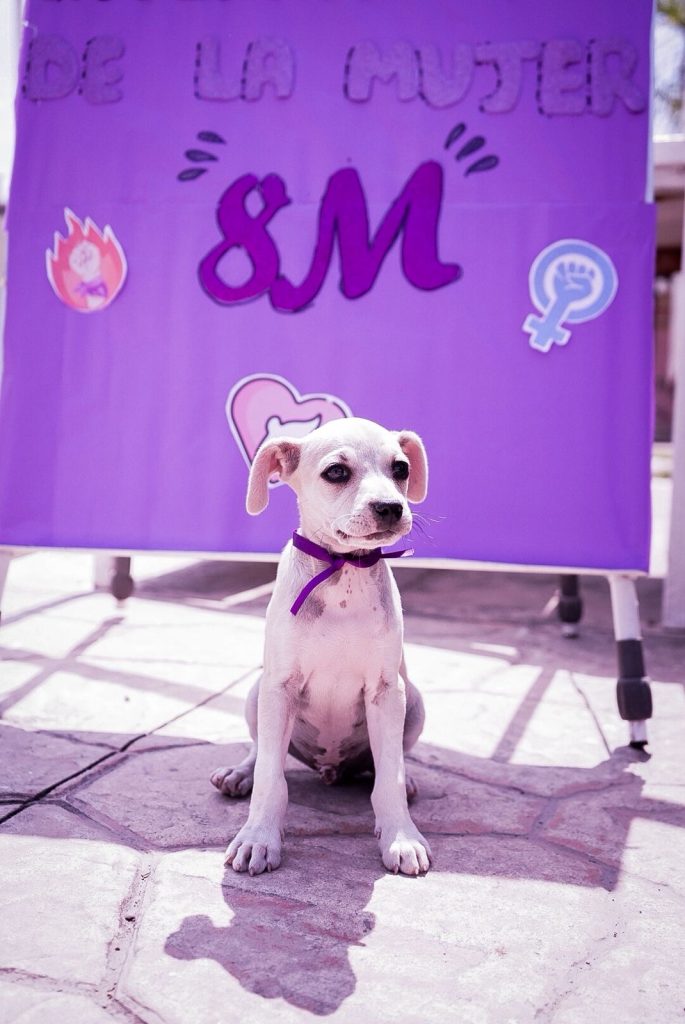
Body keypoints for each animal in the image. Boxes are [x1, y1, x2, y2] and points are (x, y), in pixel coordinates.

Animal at [211, 416, 432, 876]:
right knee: (260, 752)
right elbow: (271, 778)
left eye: (401, 468)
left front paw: (401, 837)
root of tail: (330, 770)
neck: (343, 570)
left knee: (391, 761)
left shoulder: (387, 691)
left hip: (414, 701)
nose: (391, 507)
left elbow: (390, 777)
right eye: (336, 472)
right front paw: (258, 838)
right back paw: (239, 774)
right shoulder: (280, 687)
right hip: (258, 693)